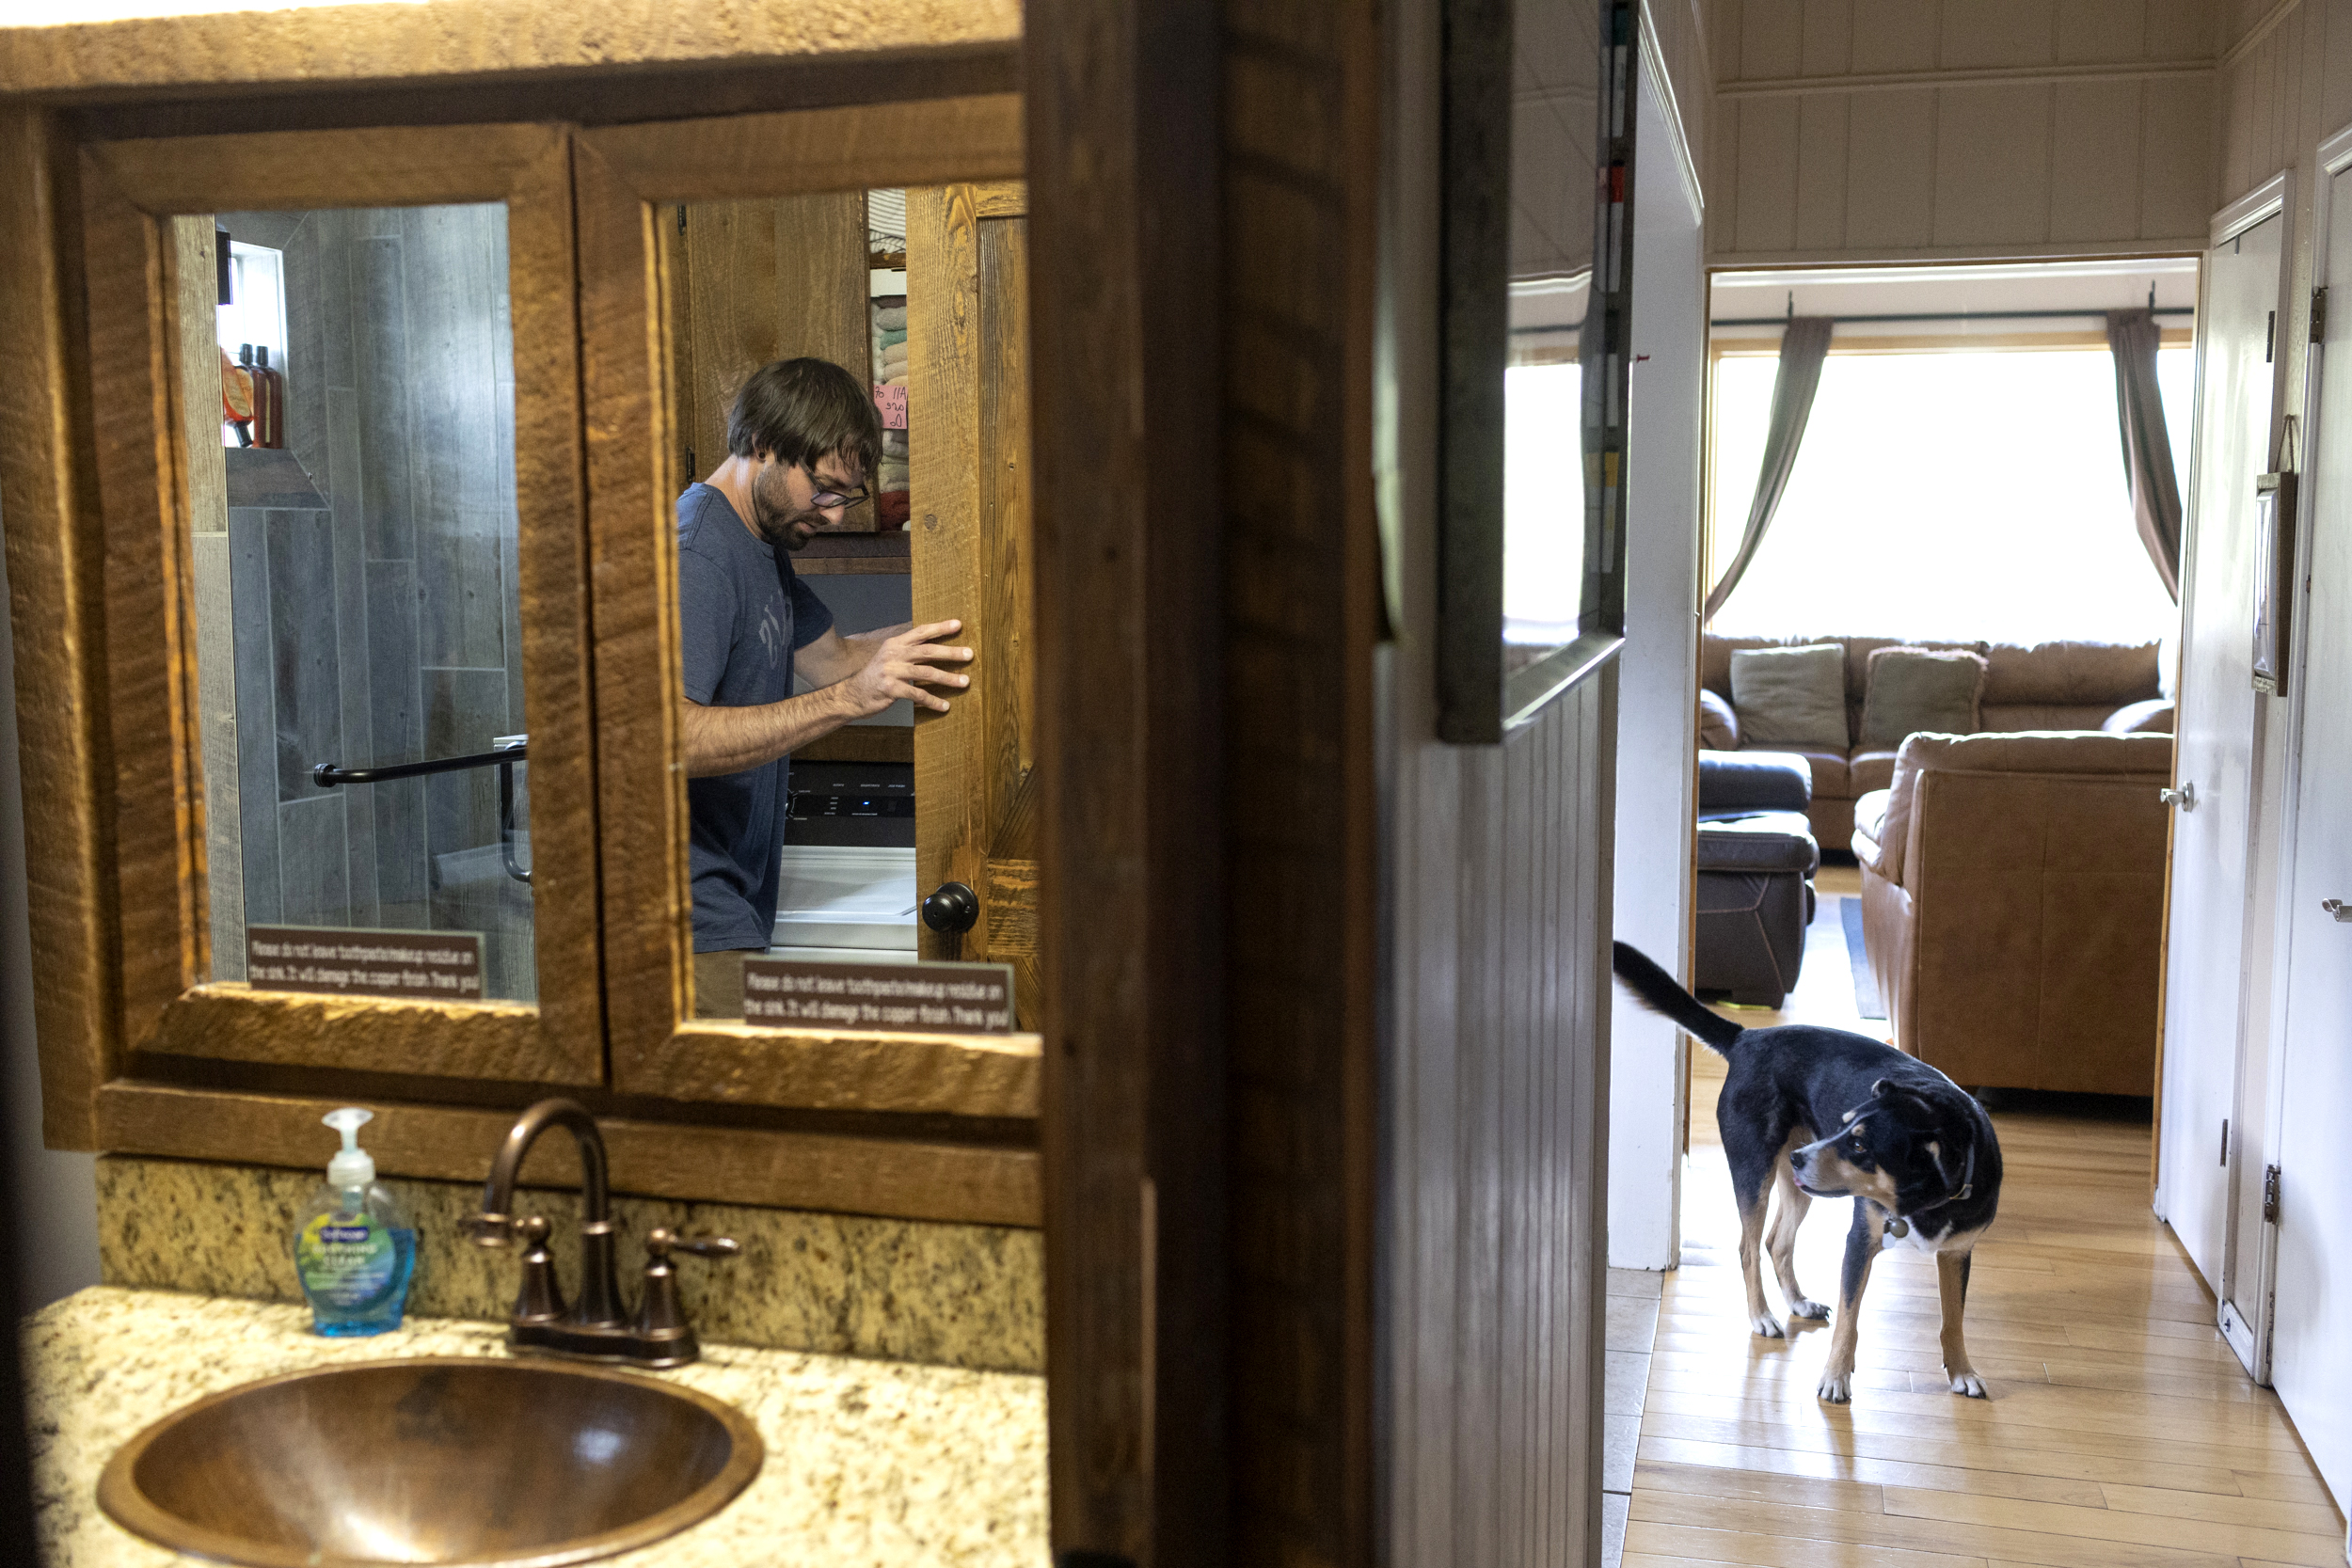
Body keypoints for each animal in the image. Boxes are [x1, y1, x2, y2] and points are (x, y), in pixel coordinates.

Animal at [1618, 940, 2004, 1401]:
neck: (1925, 1199)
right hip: (1756, 1170)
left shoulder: (1955, 1253)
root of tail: (1747, 1037)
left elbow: (1953, 1319)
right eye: (1844, 1124)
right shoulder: (1860, 1242)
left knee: (1777, 1242)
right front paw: (1835, 1377)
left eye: (1859, 1145)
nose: (1801, 1157)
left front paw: (1963, 1371)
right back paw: (1763, 1316)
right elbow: (1850, 1321)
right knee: (1749, 1247)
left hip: (1800, 1187)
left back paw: (1798, 1303)